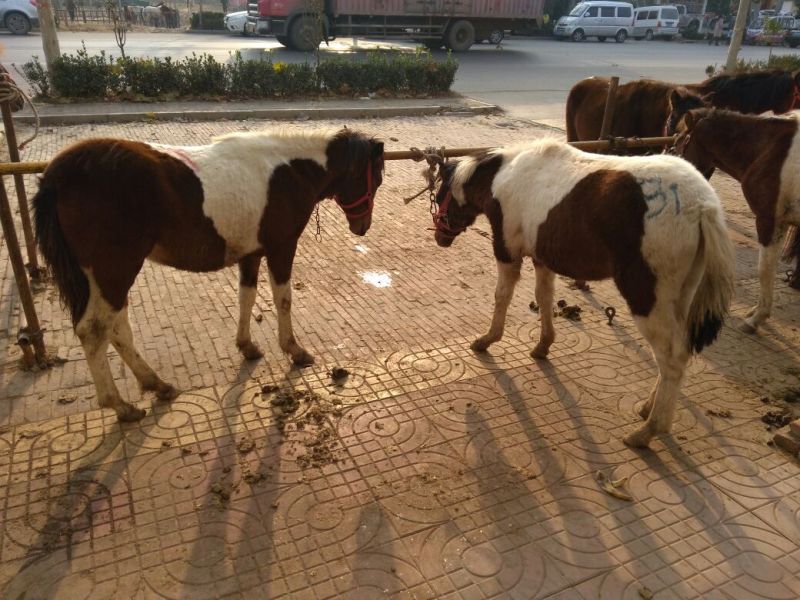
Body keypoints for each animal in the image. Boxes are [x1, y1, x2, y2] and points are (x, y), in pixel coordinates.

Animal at [34, 128, 384, 422]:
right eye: (377, 178)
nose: (363, 227)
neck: (290, 169)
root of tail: (58, 175)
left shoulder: (251, 254)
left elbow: (247, 297)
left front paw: (247, 345)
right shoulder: (281, 249)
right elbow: (283, 300)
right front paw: (294, 350)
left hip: (107, 278)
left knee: (117, 328)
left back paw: (156, 383)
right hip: (114, 270)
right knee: (95, 330)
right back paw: (120, 405)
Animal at [430, 139, 734, 448]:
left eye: (440, 195)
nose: (440, 237)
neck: (504, 174)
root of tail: (703, 206)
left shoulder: (507, 252)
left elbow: (502, 295)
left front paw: (487, 339)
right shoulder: (542, 258)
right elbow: (544, 297)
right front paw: (543, 345)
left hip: (647, 299)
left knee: (671, 359)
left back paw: (648, 431)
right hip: (680, 298)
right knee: (675, 354)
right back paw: (648, 409)